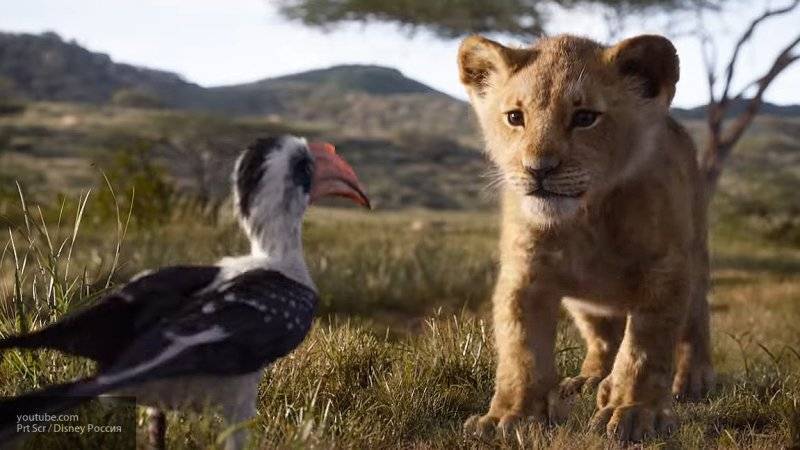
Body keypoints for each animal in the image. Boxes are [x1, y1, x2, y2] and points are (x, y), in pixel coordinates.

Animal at [457, 34, 715, 441]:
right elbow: (520, 350)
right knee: (603, 339)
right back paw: (591, 381)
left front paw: (633, 412)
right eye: (515, 117)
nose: (538, 169)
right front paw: (508, 417)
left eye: (584, 118)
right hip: (585, 303)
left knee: (695, 319)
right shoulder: (525, 274)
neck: (586, 217)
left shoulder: (665, 270)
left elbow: (645, 349)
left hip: (696, 254)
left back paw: (692, 380)